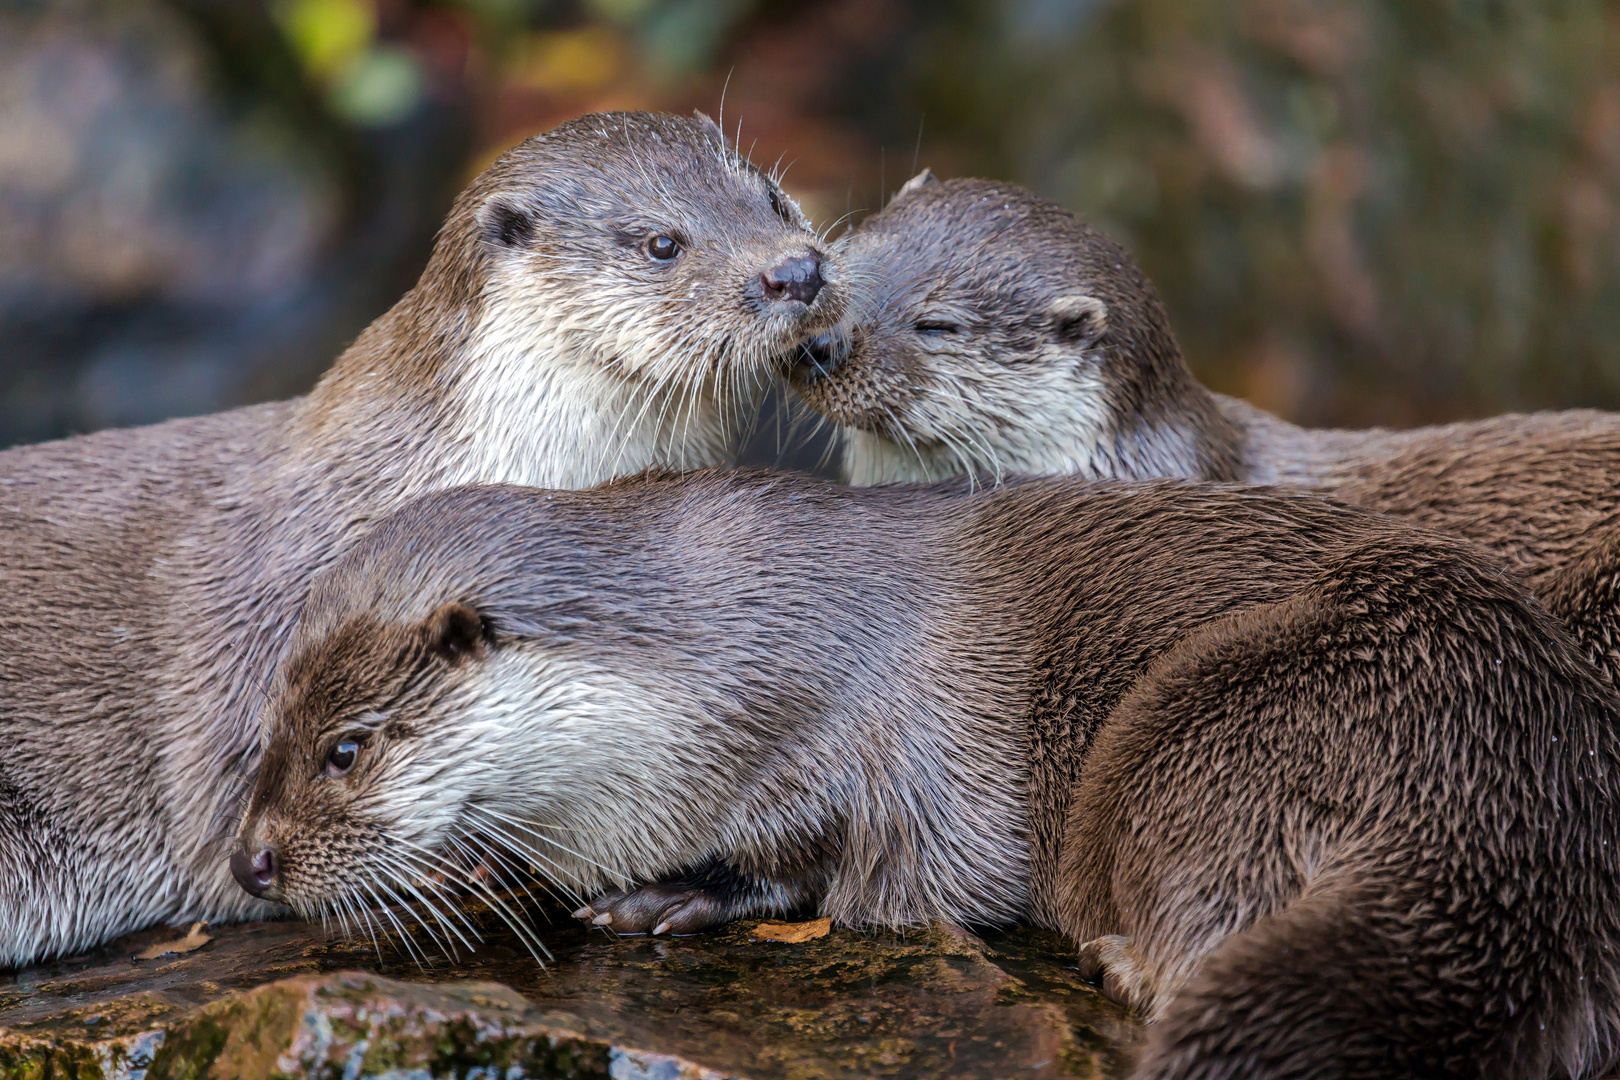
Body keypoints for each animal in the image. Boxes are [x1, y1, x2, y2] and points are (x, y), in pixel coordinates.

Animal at [231, 472, 1620, 1080]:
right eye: (267, 733)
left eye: (348, 748)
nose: (249, 860)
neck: (718, 651)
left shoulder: (856, 731)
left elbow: (817, 859)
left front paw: (672, 896)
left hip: (1209, 727)